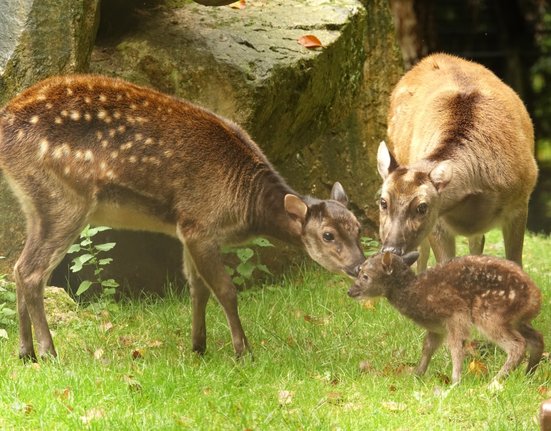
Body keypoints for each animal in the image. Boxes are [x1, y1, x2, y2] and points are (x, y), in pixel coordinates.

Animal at [1, 74, 370, 362]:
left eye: (357, 227)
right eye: (328, 235)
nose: (358, 266)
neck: (244, 202)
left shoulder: (187, 228)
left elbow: (197, 288)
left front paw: (198, 347)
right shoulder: (200, 223)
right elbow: (225, 289)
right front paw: (243, 351)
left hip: (36, 204)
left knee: (18, 267)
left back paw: (26, 353)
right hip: (65, 200)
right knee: (32, 272)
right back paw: (49, 352)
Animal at [350, 253, 544, 384]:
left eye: (365, 275)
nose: (350, 291)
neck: (416, 294)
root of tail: (535, 297)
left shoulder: (455, 314)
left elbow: (456, 347)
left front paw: (455, 381)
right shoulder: (437, 328)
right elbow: (428, 346)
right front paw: (417, 374)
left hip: (489, 315)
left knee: (517, 345)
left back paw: (495, 382)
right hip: (517, 320)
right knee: (537, 338)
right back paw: (528, 376)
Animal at [378, 53, 536, 270]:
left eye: (422, 206)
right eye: (383, 202)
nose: (391, 250)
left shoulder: (520, 202)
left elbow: (515, 262)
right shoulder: (437, 223)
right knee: (422, 254)